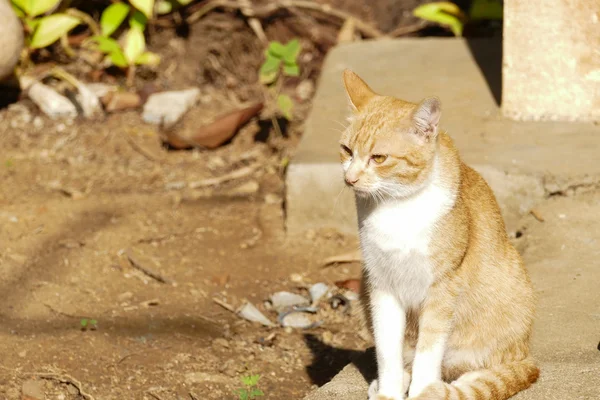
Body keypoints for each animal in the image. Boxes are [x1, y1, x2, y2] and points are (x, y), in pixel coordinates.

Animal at [338, 70, 540, 398]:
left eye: (378, 158)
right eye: (347, 151)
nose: (350, 178)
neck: (397, 209)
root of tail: (526, 350)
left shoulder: (442, 289)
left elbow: (429, 349)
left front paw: (424, 390)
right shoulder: (382, 286)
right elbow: (387, 349)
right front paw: (390, 390)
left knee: (490, 369)